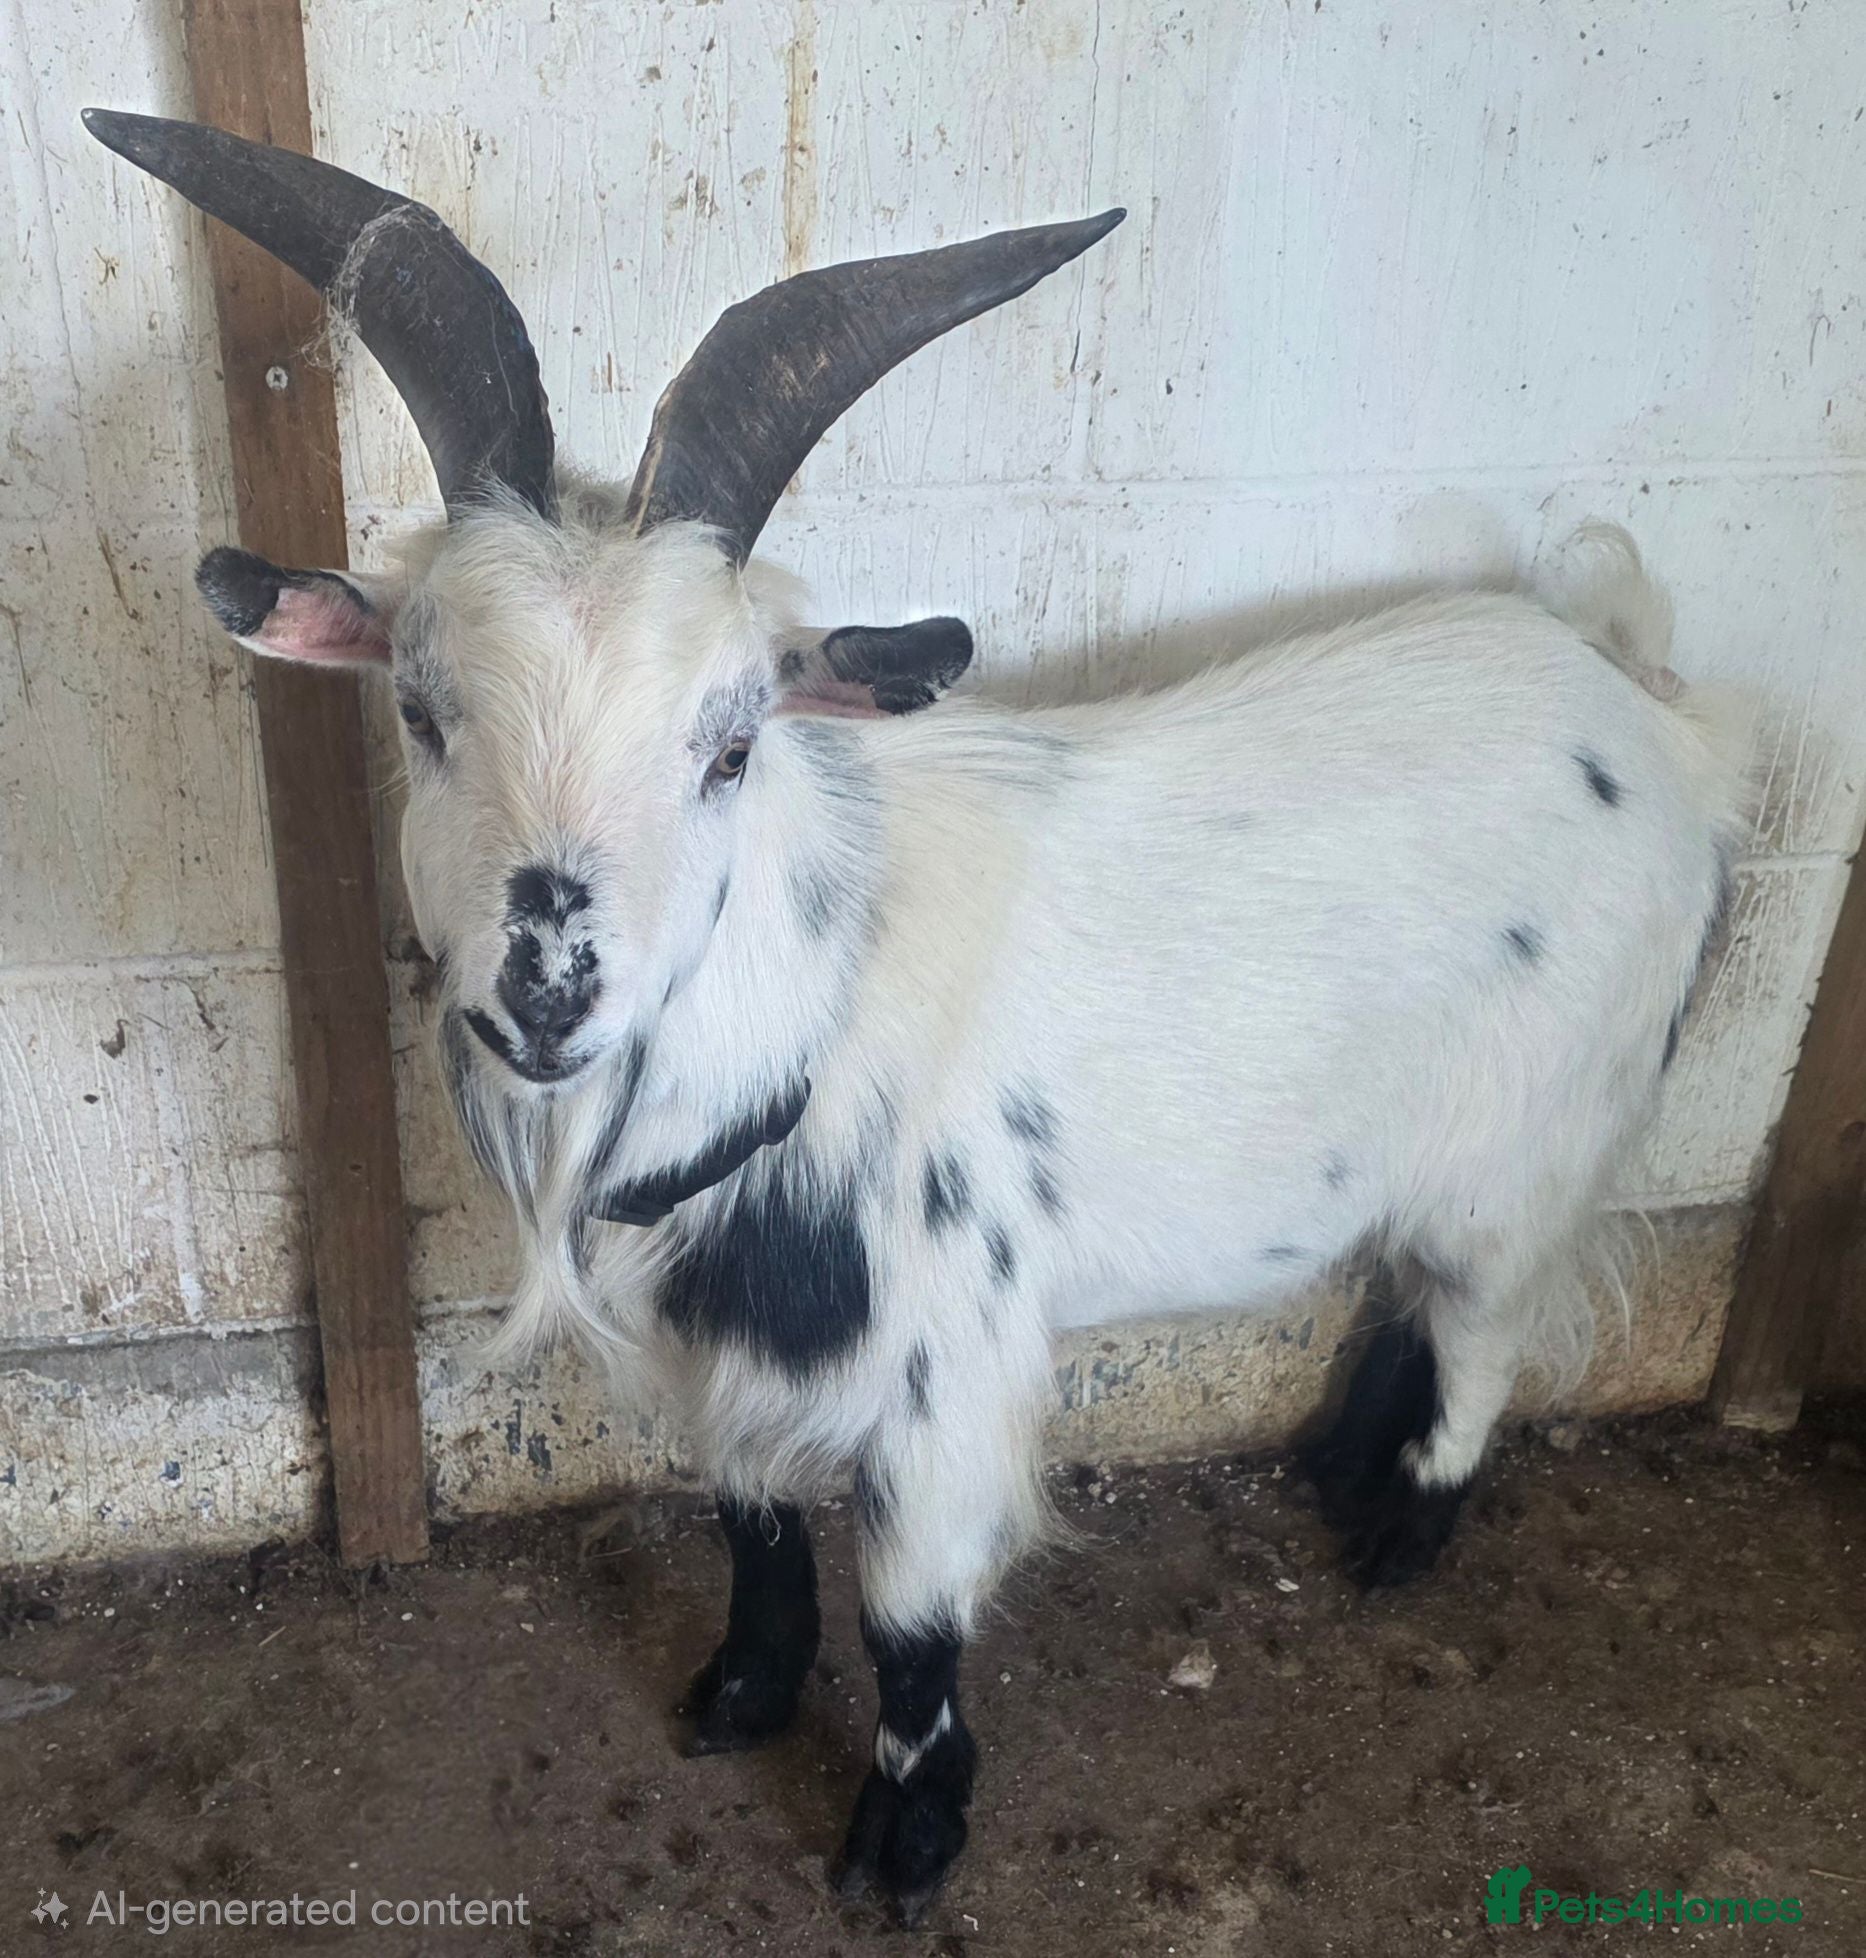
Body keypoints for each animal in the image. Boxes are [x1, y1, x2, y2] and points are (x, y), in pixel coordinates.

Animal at [90, 108, 1746, 1921]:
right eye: (417, 706)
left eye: (733, 741)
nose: (547, 986)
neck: (817, 1007)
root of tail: (1644, 700)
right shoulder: (726, 1340)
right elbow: (748, 1519)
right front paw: (738, 1692)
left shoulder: (946, 1368)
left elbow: (909, 1620)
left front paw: (905, 1834)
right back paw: (1339, 1462)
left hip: (1541, 1135)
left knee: (1483, 1318)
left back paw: (1400, 1526)